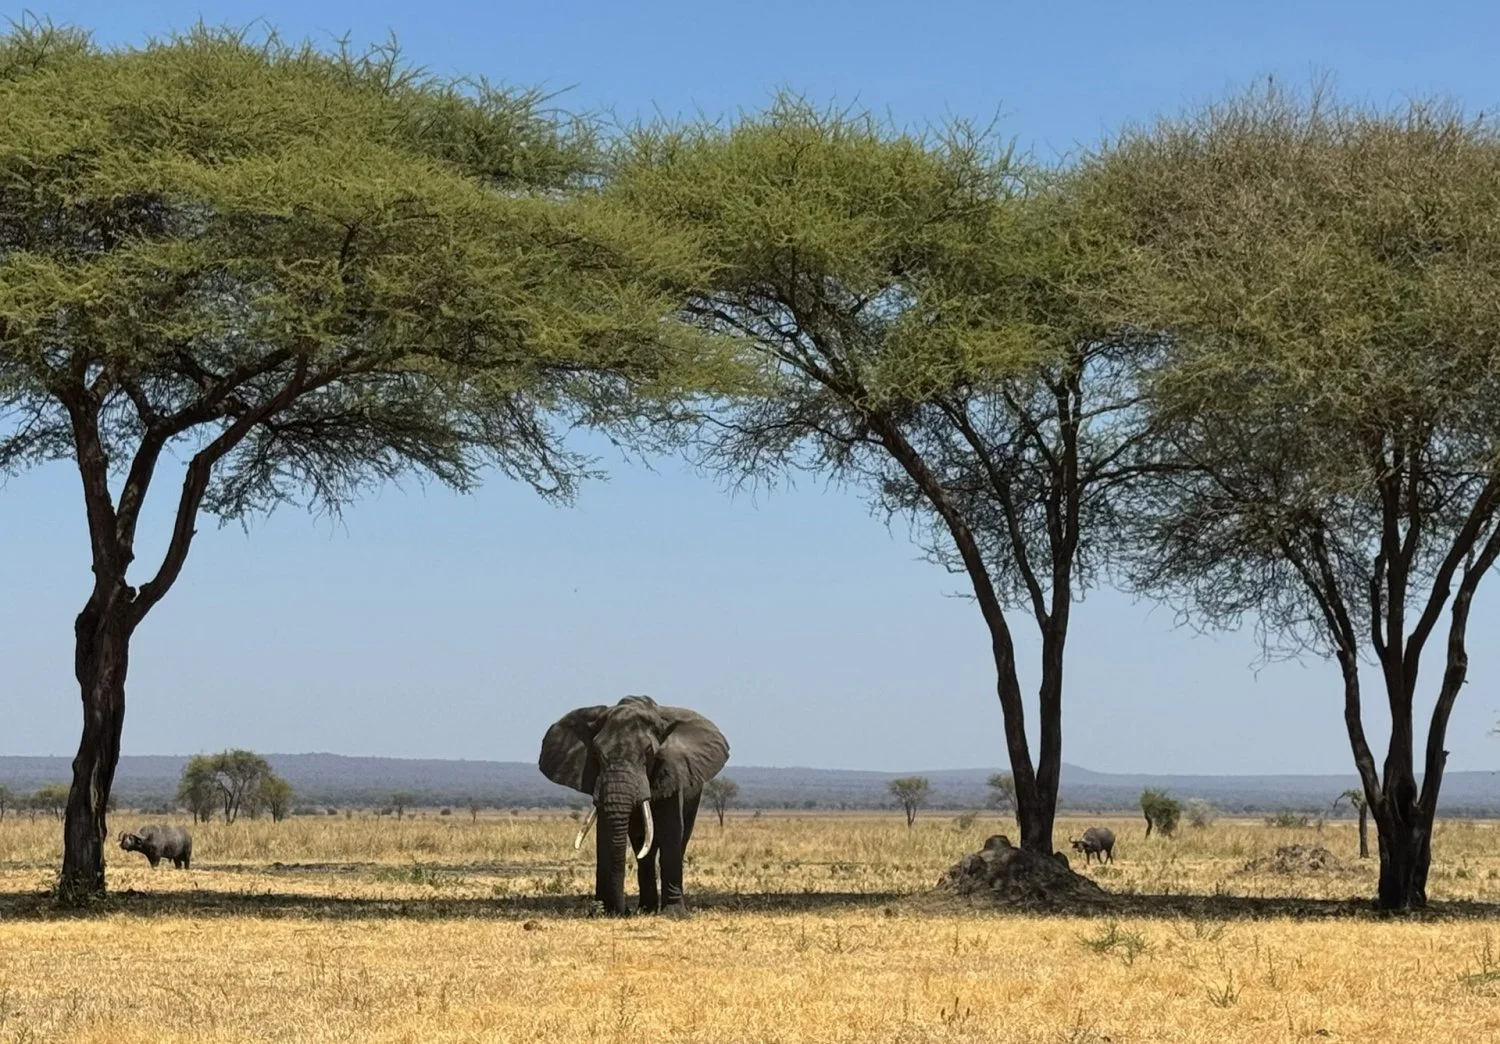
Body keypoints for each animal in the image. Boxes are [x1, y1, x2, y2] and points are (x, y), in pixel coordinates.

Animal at [539, 695, 729, 917]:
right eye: (595, 752)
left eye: (648, 752)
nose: (624, 911)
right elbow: (605, 835)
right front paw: (603, 910)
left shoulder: (671, 772)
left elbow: (671, 831)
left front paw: (673, 914)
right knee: (643, 848)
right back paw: (646, 909)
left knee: (679, 838)